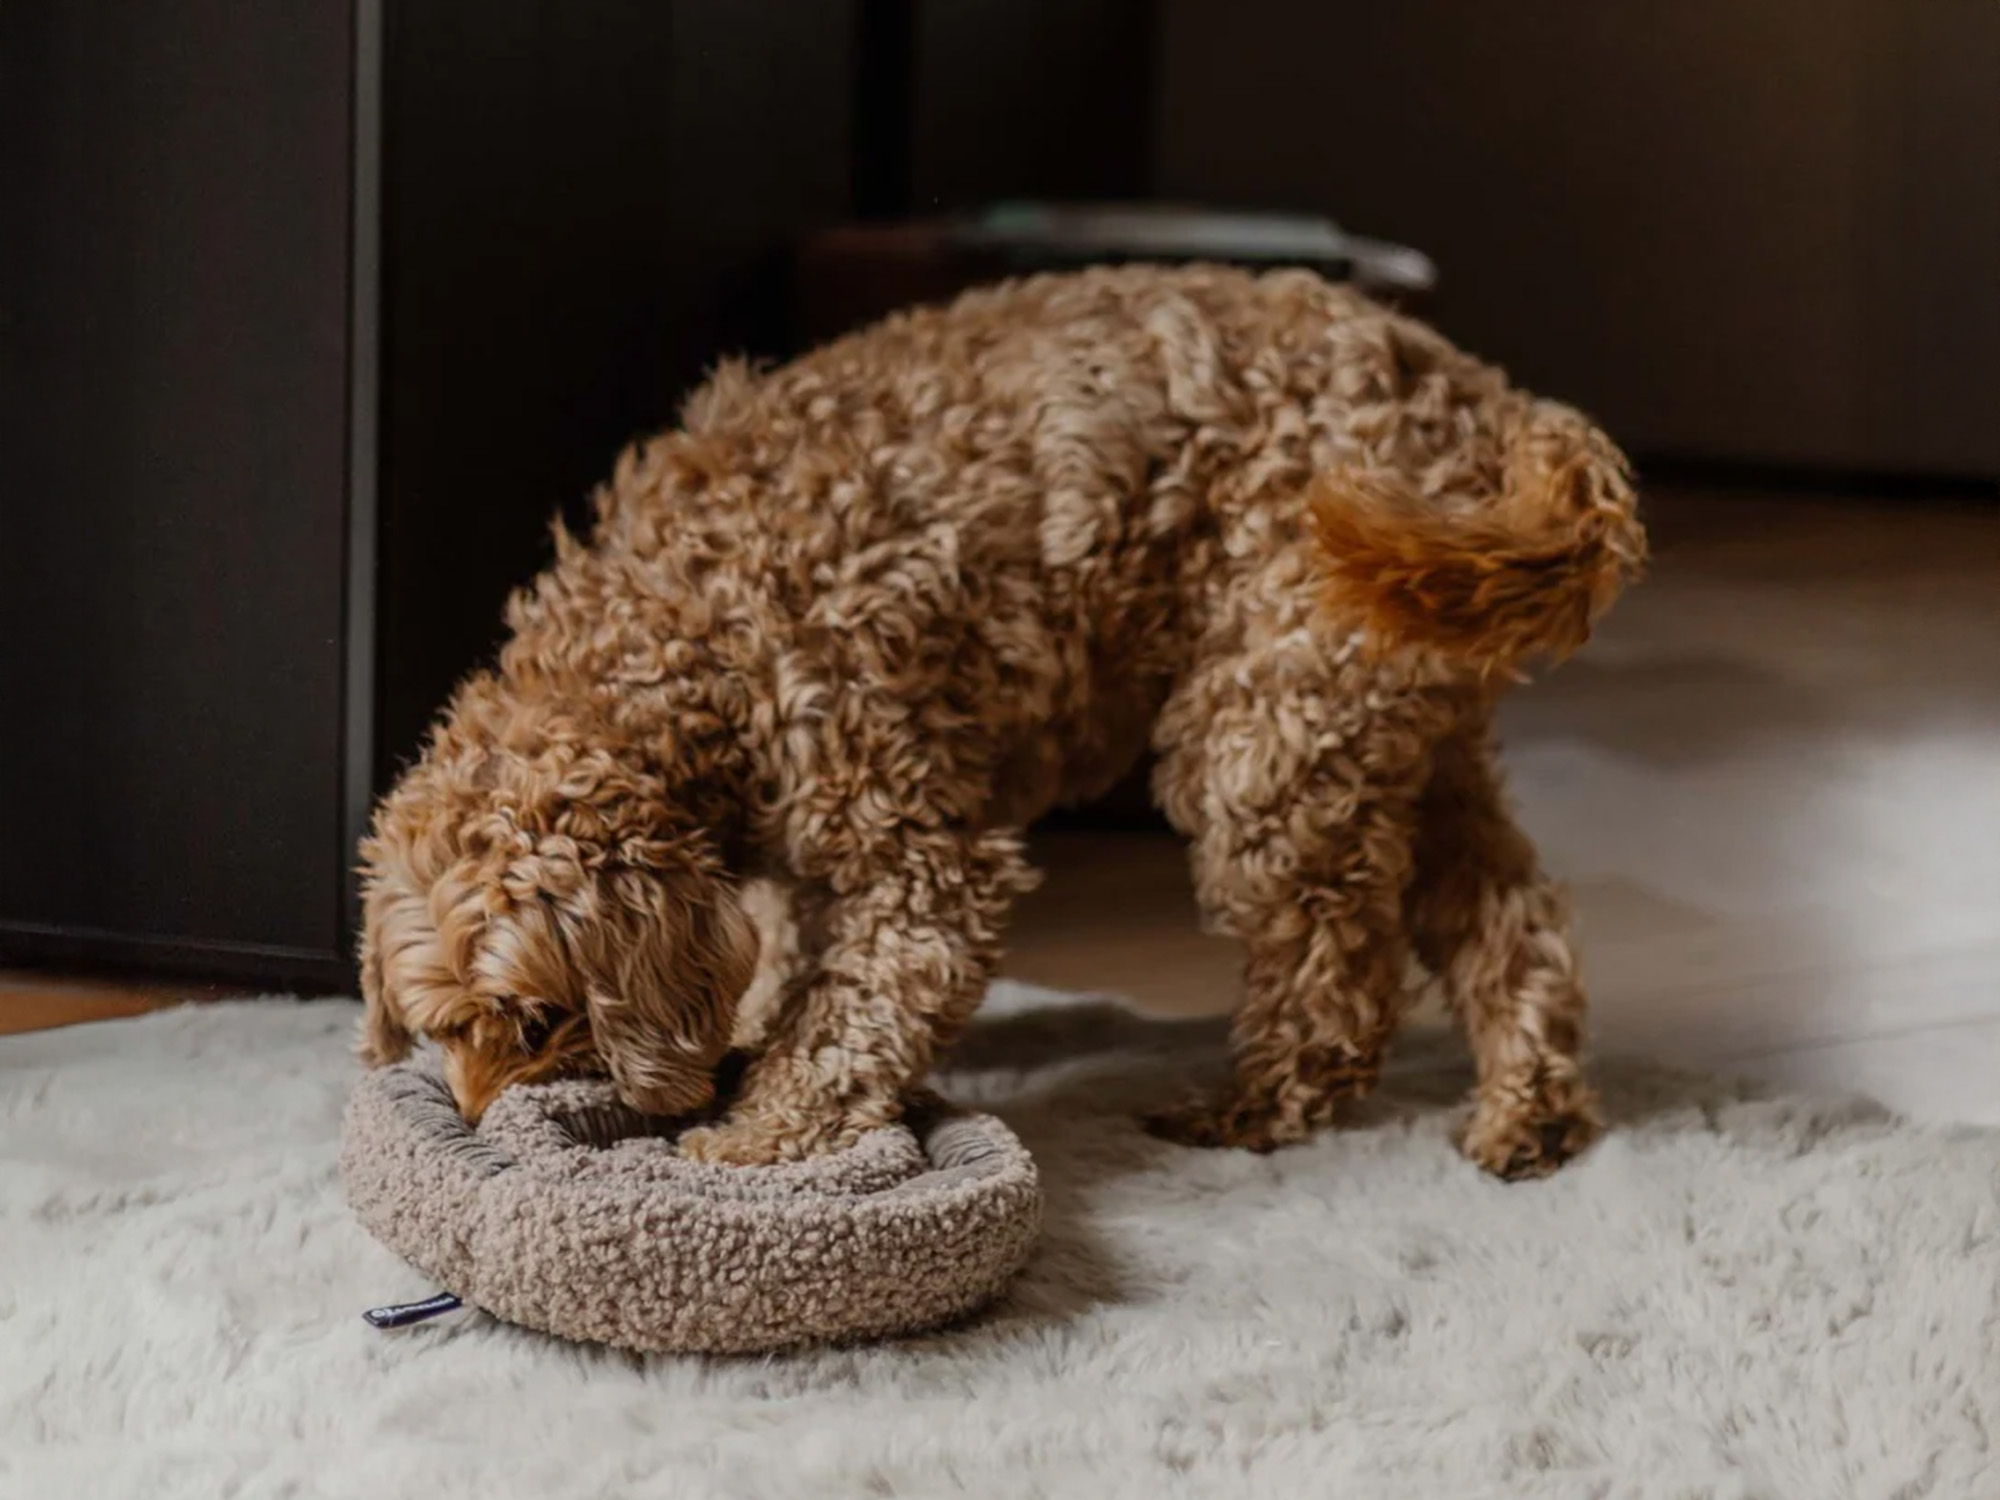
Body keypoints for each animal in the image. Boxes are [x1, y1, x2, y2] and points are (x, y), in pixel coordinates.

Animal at [356, 264, 1644, 1179]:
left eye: (536, 1020)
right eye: (439, 1031)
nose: (473, 1132)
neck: (675, 626)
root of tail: (1480, 396)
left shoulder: (913, 850)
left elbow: (856, 1013)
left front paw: (757, 1134)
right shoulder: (787, 867)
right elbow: (791, 968)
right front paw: (753, 1035)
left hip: (1265, 739)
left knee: (1338, 972)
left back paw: (1256, 1106)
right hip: (1393, 726)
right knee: (1509, 912)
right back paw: (1529, 1109)